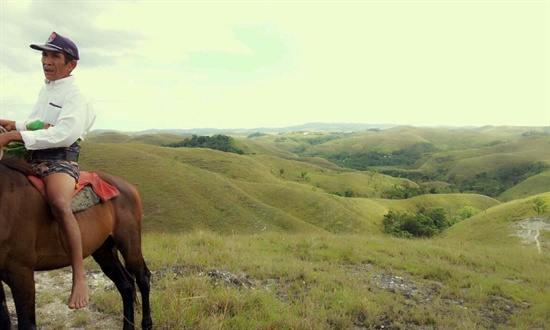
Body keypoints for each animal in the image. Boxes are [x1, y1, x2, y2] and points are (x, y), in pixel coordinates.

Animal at [0, 156, 152, 328]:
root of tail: (126, 186)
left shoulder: (21, 271)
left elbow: (27, 323)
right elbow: (4, 320)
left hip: (129, 243)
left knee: (143, 277)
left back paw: (147, 323)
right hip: (103, 250)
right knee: (126, 285)